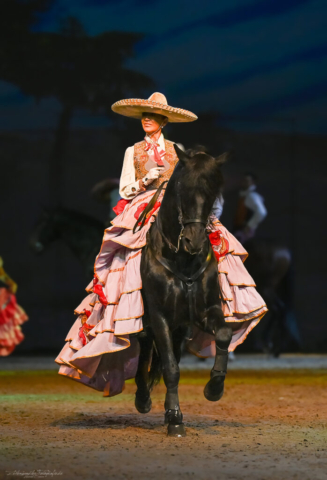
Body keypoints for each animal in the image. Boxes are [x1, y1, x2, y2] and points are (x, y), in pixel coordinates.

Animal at [135, 145, 240, 436]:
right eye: (183, 189)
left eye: (214, 191)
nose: (195, 241)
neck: (180, 258)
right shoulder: (159, 315)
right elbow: (170, 367)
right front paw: (175, 419)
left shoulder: (204, 311)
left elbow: (224, 334)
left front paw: (214, 388)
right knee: (146, 347)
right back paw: (143, 400)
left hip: (180, 327)